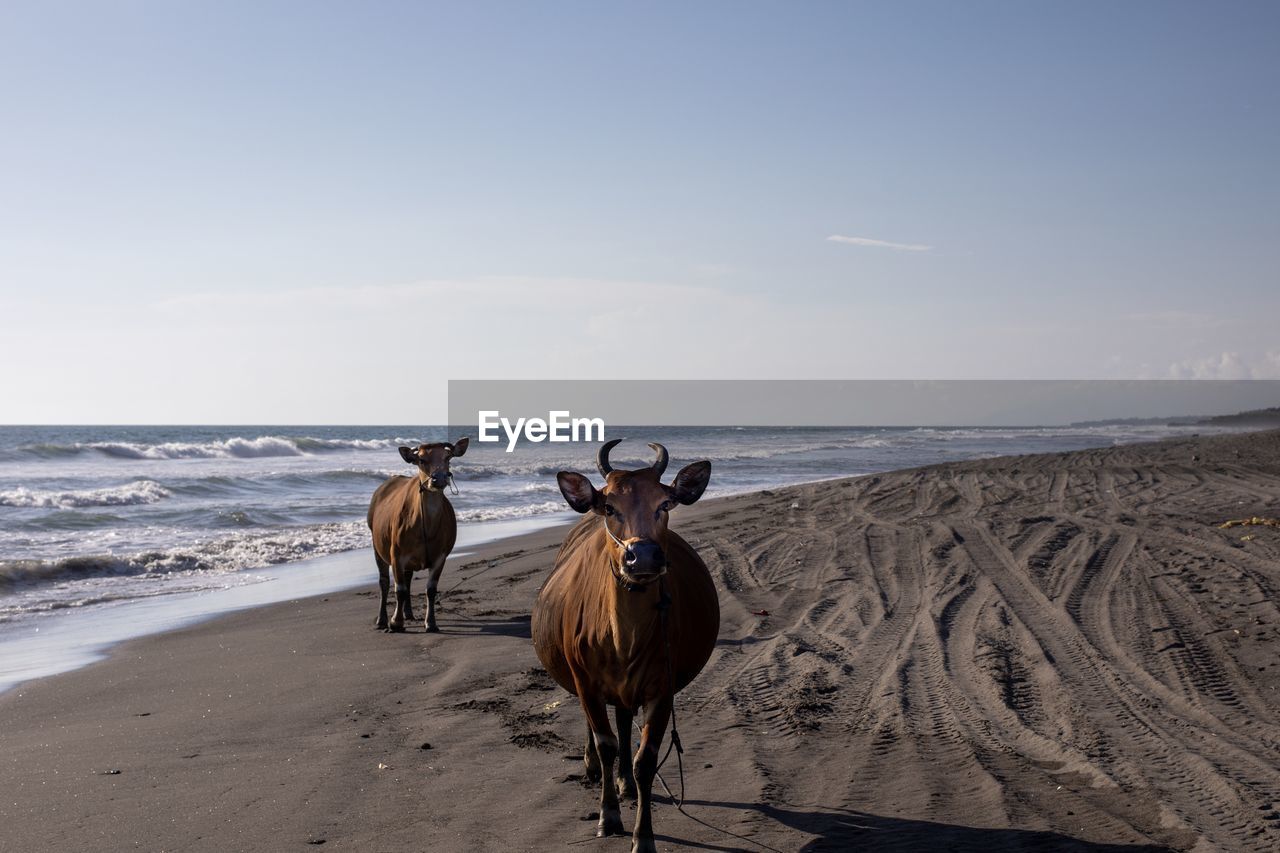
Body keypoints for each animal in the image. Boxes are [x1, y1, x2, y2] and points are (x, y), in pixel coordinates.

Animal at [368, 438, 468, 630]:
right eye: (421, 460)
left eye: (448, 457)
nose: (439, 478)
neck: (426, 528)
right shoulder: (396, 554)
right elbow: (399, 590)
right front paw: (395, 622)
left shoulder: (440, 556)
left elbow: (430, 590)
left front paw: (431, 623)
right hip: (377, 545)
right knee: (384, 582)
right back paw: (381, 619)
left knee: (408, 578)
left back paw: (408, 613)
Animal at [529, 438, 721, 850]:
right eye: (609, 507)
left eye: (664, 504)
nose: (643, 556)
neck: (623, 637)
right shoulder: (585, 681)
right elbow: (606, 744)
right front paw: (608, 816)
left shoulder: (662, 688)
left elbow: (645, 758)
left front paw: (642, 835)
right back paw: (595, 769)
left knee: (623, 720)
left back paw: (627, 784)